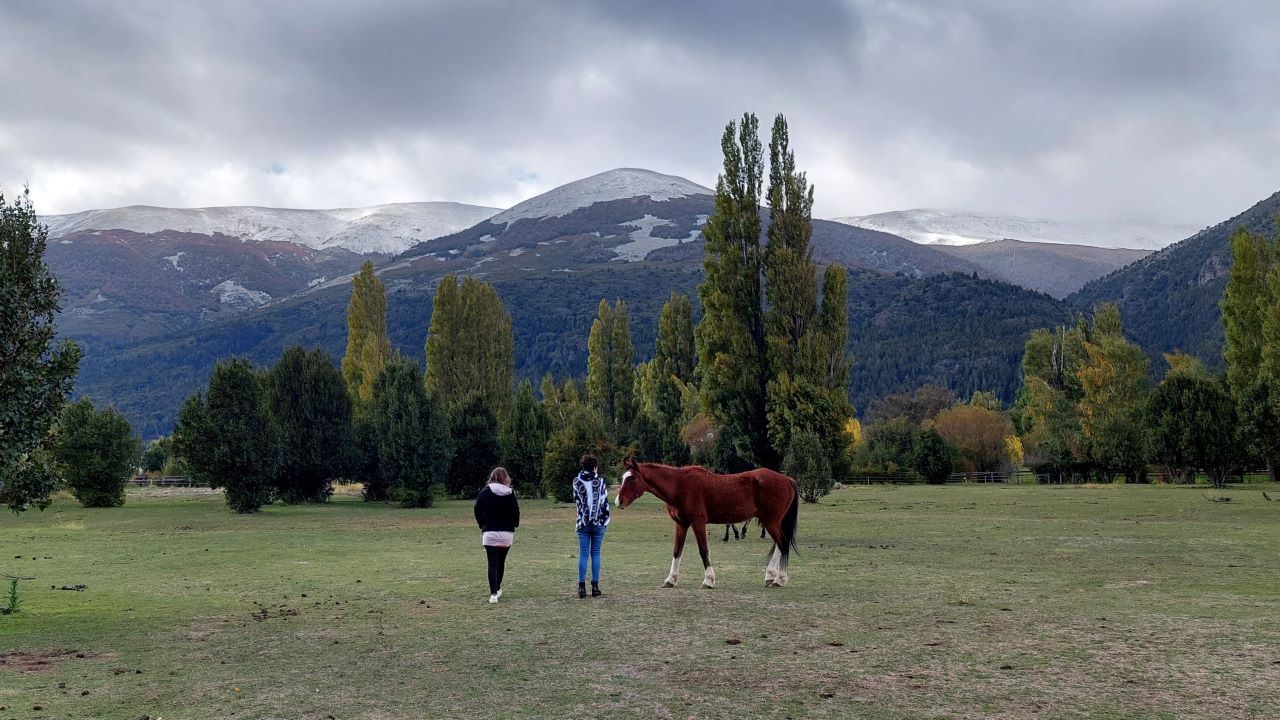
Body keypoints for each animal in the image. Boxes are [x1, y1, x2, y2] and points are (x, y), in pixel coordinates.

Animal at [614, 456, 793, 586]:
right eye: (623, 478)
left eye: (632, 478)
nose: (618, 501)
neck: (680, 486)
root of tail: (787, 480)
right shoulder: (681, 524)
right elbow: (677, 551)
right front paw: (671, 579)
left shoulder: (698, 523)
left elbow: (703, 550)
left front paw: (708, 580)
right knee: (780, 545)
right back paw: (772, 576)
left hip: (770, 522)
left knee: (783, 543)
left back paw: (779, 579)